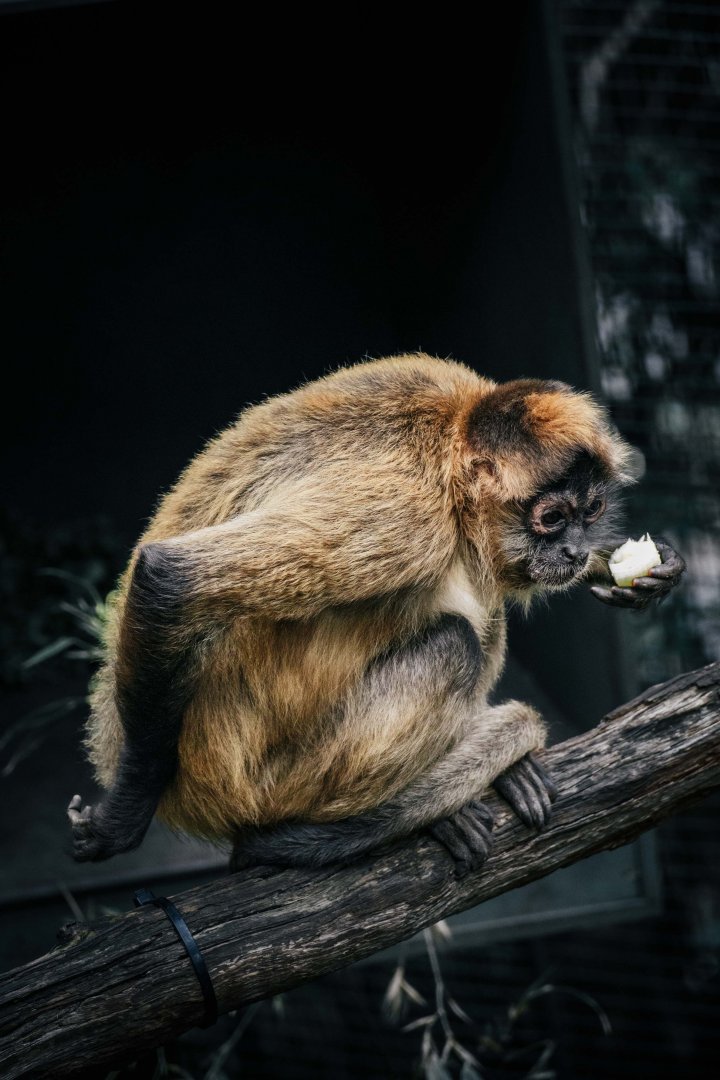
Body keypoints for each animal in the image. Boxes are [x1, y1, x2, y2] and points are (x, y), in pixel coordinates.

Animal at [67, 354, 686, 877]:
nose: (576, 551)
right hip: (276, 778)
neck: (449, 437)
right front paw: (122, 818)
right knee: (456, 642)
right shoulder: (406, 508)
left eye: (592, 511)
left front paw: (648, 572)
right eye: (552, 518)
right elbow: (171, 578)